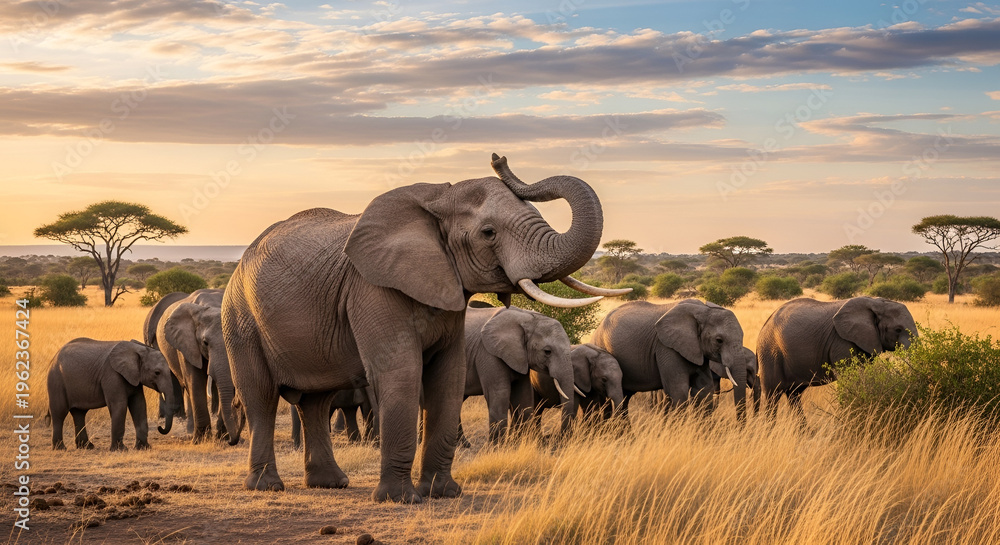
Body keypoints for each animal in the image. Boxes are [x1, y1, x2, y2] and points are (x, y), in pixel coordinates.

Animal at [156, 294, 242, 444]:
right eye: (205, 343)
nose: (231, 441)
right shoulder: (186, 344)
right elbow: (195, 382)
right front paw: (200, 440)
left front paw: (221, 437)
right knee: (187, 387)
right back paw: (192, 433)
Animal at [459, 305, 579, 445]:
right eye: (547, 352)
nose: (559, 439)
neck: (527, 317)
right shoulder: (488, 353)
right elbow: (499, 394)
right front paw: (496, 447)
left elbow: (524, 395)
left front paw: (518, 444)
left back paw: (464, 444)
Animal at [592, 299, 750, 420]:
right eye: (719, 340)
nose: (740, 428)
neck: (703, 310)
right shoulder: (666, 347)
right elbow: (678, 391)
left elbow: (704, 390)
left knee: (624, 398)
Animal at [757, 296, 917, 419]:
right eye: (898, 330)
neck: (876, 302)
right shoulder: (841, 342)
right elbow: (849, 379)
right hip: (770, 352)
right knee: (773, 394)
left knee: (793, 395)